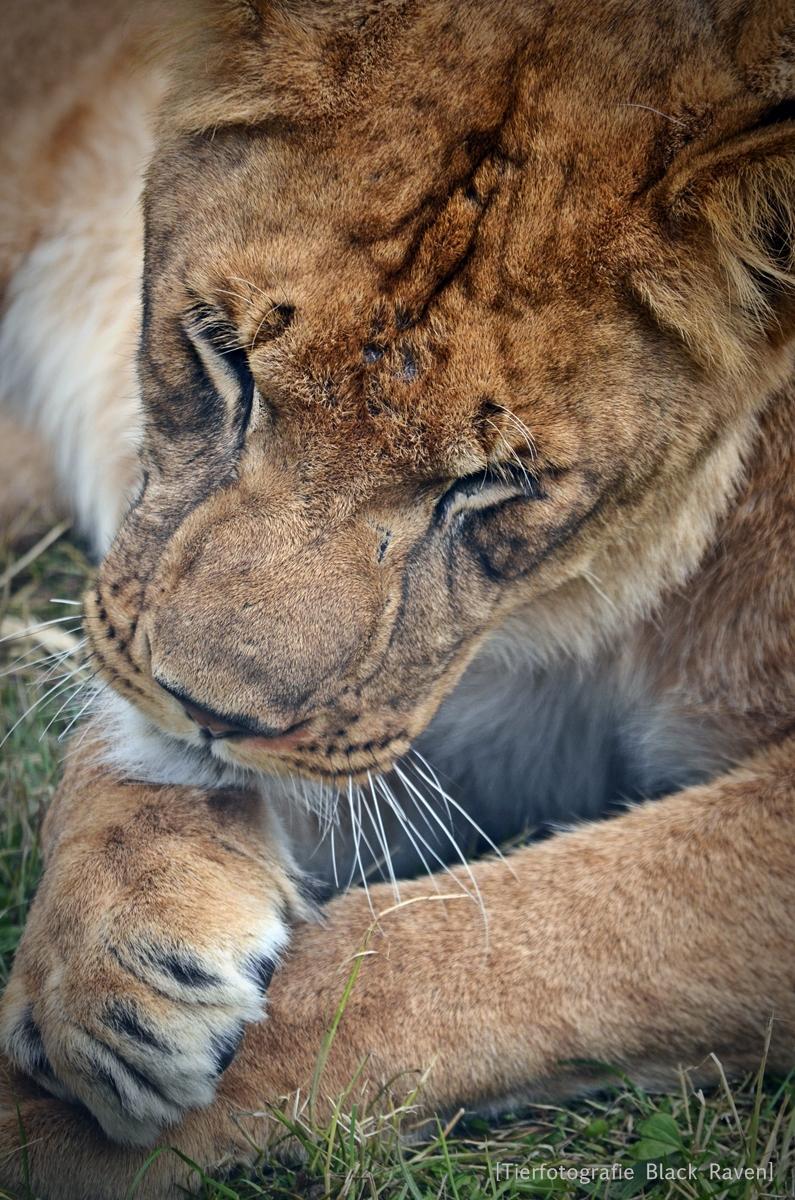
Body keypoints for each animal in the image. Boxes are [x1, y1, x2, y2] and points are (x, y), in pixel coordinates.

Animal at [0, 0, 792, 1195]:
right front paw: (102, 962)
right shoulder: (443, 688)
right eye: (224, 357)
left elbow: (486, 944)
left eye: (491, 484)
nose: (209, 712)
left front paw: (45, 1125)